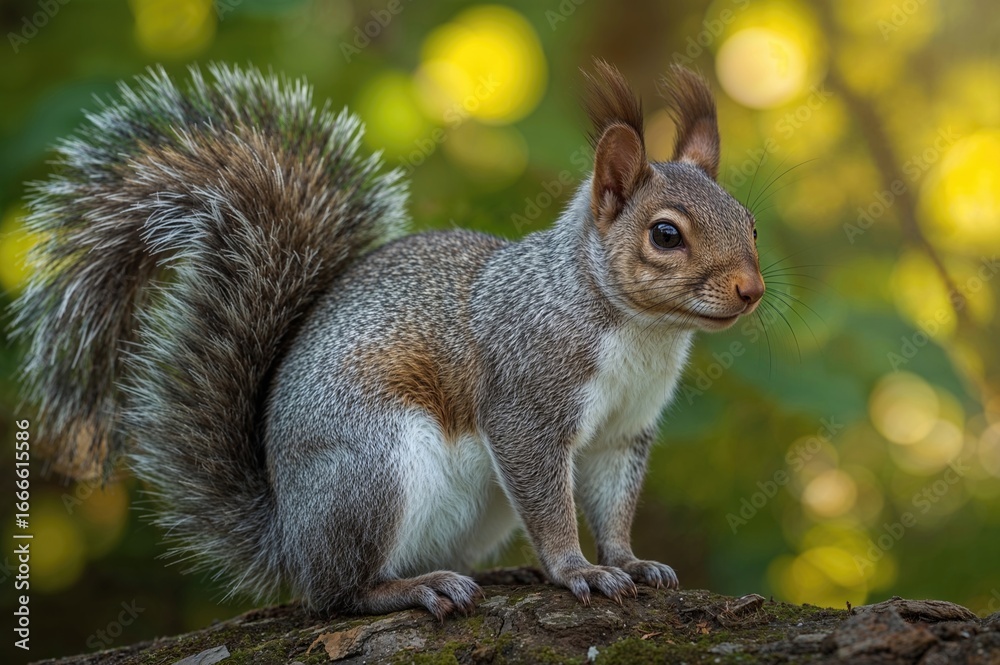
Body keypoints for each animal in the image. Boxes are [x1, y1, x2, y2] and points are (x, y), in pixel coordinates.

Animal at [11, 60, 764, 618]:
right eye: (665, 234)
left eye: (749, 221)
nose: (750, 290)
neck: (641, 331)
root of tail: (288, 534)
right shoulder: (527, 398)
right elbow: (547, 499)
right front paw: (575, 568)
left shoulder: (624, 430)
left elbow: (615, 506)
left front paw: (628, 560)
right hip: (374, 463)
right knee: (337, 593)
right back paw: (409, 587)